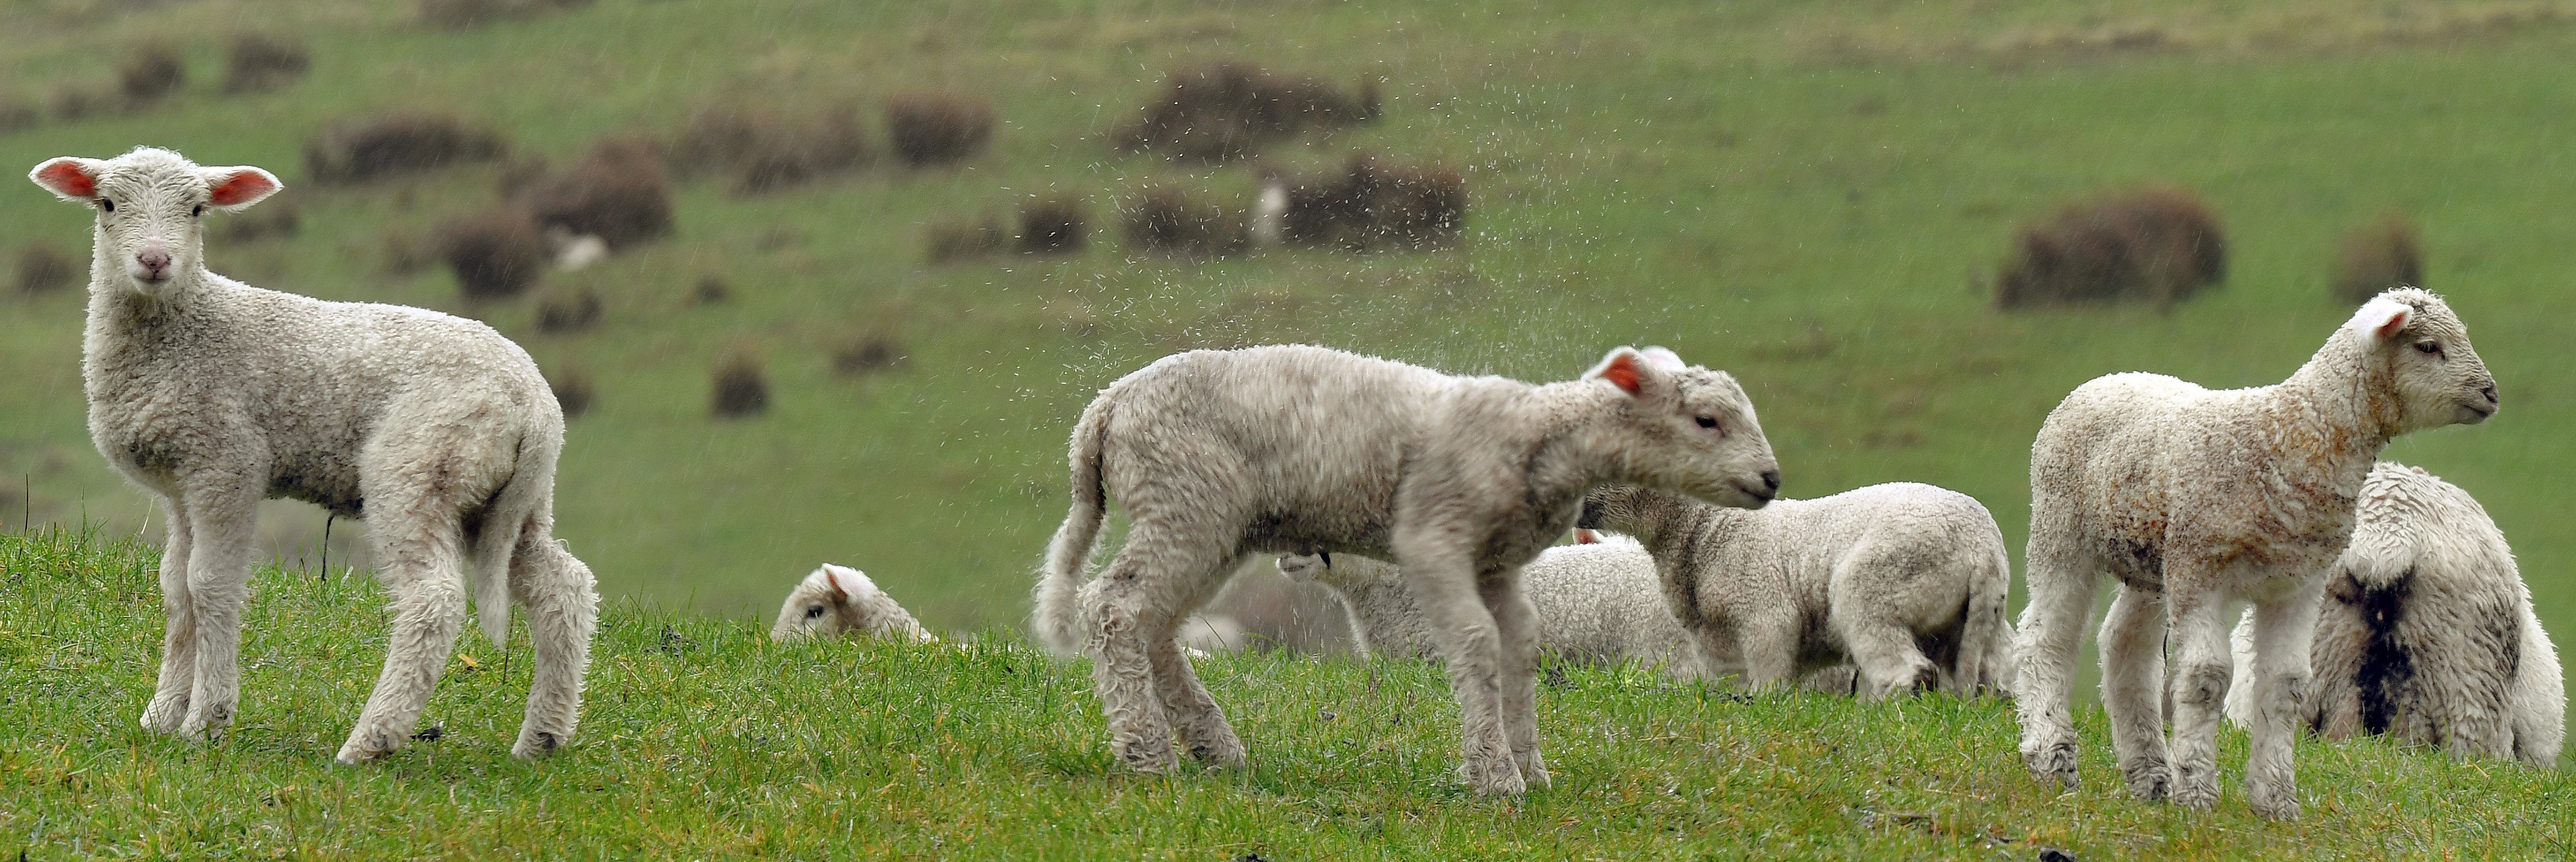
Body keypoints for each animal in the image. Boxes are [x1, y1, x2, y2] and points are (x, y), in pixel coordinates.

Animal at [29, 147, 599, 765]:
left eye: (198, 209)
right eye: (108, 204)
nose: (155, 259)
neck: (183, 332)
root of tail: (536, 403)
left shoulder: (227, 461)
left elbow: (209, 584)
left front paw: (206, 722)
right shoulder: (181, 482)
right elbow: (176, 589)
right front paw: (160, 716)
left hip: (419, 465)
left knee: (434, 600)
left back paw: (371, 740)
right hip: (505, 499)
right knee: (563, 585)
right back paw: (542, 738)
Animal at [1030, 343, 1780, 795]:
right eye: (1706, 419)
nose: (1772, 479)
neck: (1536, 435)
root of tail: (1103, 408)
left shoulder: (1496, 561)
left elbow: (1517, 647)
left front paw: (1529, 768)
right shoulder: (1433, 540)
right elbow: (1475, 644)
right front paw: (1493, 777)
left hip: (1214, 526)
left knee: (1156, 623)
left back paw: (1215, 746)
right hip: (1184, 504)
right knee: (1116, 608)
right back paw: (1147, 753)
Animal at [1576, 483, 2017, 698]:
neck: (1706, 530)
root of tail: (1985, 549)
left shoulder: (1763, 609)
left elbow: (1771, 668)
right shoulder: (1718, 639)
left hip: (1885, 576)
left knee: (1903, 663)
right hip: (1973, 621)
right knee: (1989, 676)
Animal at [2014, 289, 2497, 820]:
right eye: (2428, 347)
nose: (2491, 393)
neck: (2291, 436)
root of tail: (2105, 380)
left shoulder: (2297, 584)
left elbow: (2286, 685)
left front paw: (2276, 801)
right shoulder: (2201, 570)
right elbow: (2207, 678)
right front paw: (2198, 792)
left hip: (2154, 559)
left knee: (2125, 644)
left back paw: (2150, 774)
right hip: (2062, 531)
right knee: (2046, 638)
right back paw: (2052, 756)